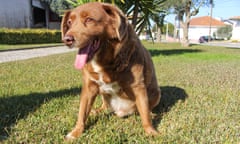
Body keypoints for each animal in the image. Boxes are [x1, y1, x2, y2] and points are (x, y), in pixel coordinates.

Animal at [61, 1, 160, 140]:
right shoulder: (89, 87)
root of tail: (121, 112)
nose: (67, 40)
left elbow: (144, 114)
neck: (104, 61)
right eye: (69, 23)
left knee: (145, 109)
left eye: (89, 19)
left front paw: (151, 131)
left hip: (156, 94)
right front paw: (76, 131)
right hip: (103, 94)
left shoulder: (138, 87)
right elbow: (82, 112)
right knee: (104, 106)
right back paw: (96, 111)